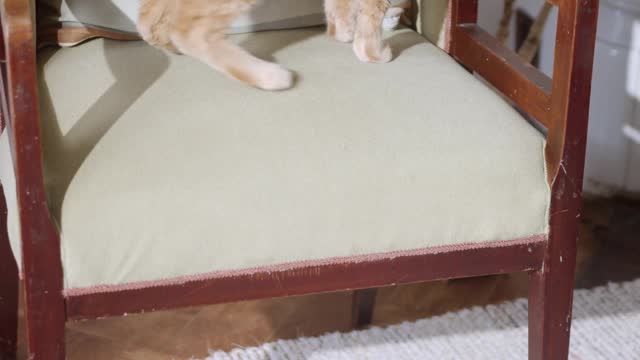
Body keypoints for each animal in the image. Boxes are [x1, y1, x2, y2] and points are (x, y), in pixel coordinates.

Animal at [138, 0, 392, 90]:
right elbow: (372, 15)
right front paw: (374, 52)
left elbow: (339, 8)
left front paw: (343, 31)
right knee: (191, 32)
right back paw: (268, 75)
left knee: (148, 18)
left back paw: (166, 44)